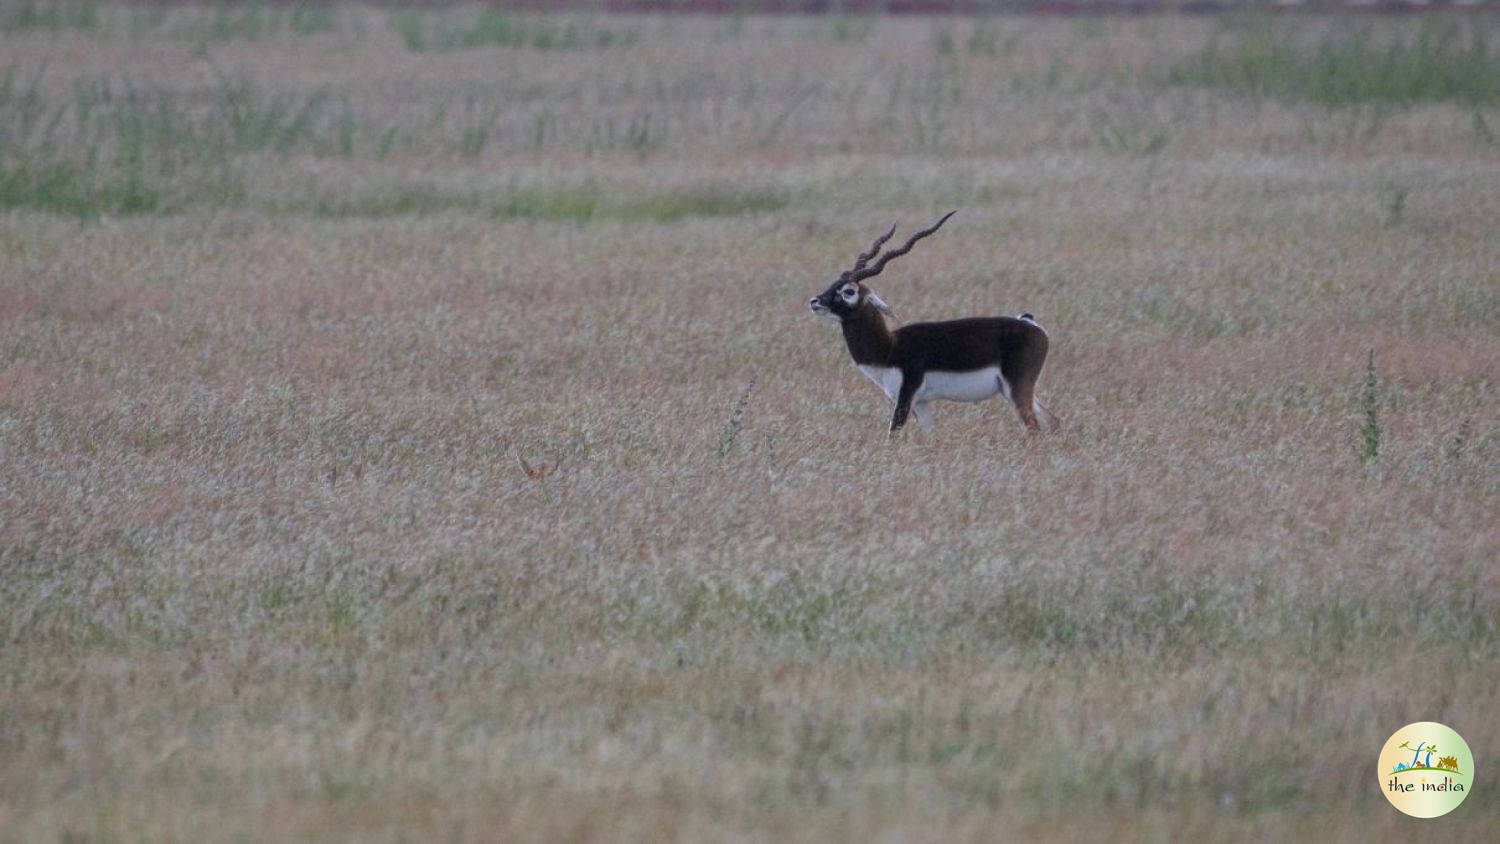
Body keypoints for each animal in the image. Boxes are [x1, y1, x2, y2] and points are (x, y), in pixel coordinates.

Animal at [810, 211, 1056, 434]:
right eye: (834, 283)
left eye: (849, 291)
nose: (815, 301)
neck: (890, 348)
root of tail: (1032, 325)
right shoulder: (922, 403)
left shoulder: (906, 396)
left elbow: (892, 434)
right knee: (1053, 421)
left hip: (1017, 389)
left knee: (1034, 427)